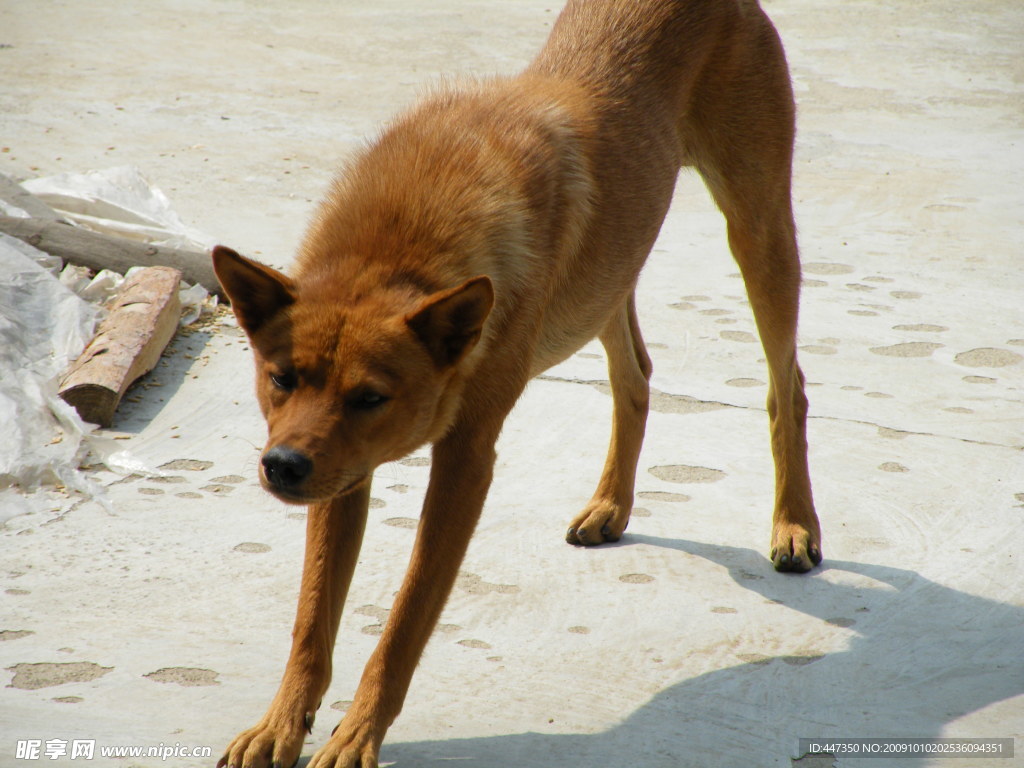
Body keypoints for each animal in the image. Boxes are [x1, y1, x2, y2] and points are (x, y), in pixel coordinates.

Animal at [211, 3, 819, 765]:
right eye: (282, 378)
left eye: (370, 398)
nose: (282, 466)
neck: (398, 251)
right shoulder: (343, 473)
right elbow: (311, 619)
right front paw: (281, 724)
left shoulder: (464, 460)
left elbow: (405, 620)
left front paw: (358, 732)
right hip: (609, 274)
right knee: (636, 375)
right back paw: (611, 503)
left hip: (758, 230)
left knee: (786, 386)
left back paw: (794, 523)